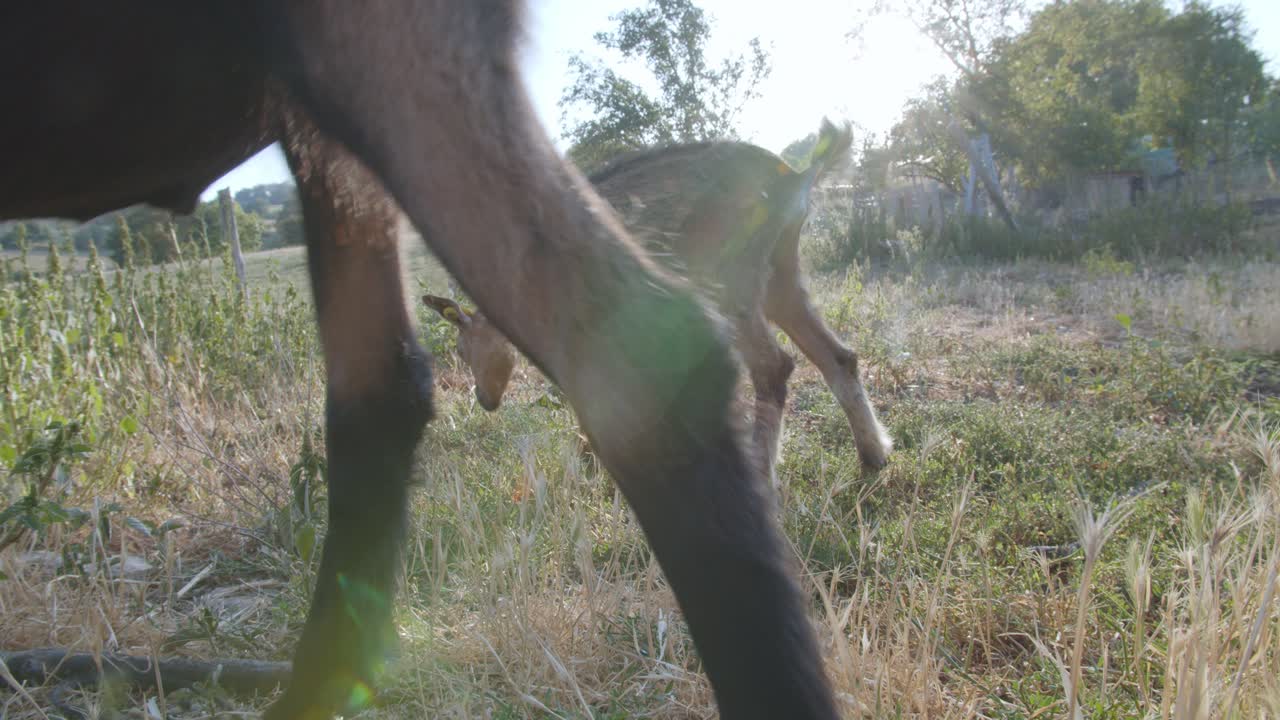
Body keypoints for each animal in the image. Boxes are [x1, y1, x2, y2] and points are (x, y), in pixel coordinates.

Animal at [425, 121, 892, 483]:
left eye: (463, 349)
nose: (484, 399)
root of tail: (794, 176)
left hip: (733, 276)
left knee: (774, 367)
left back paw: (764, 475)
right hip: (780, 274)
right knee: (838, 357)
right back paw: (874, 456)